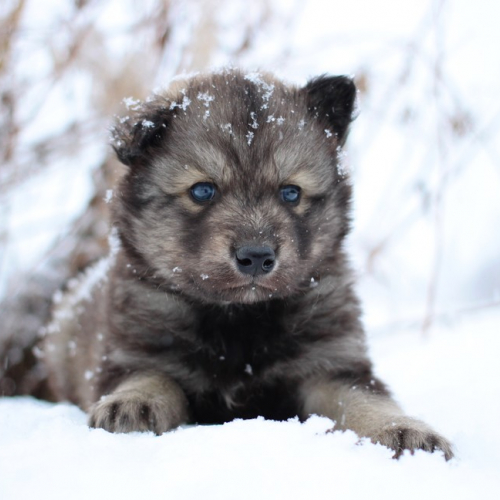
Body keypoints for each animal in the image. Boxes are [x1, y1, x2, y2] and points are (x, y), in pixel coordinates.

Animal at [44, 70, 454, 460]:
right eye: (202, 191)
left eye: (291, 193)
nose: (256, 257)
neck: (239, 319)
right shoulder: (136, 349)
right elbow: (149, 377)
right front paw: (133, 403)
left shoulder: (328, 363)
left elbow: (362, 399)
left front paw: (403, 429)